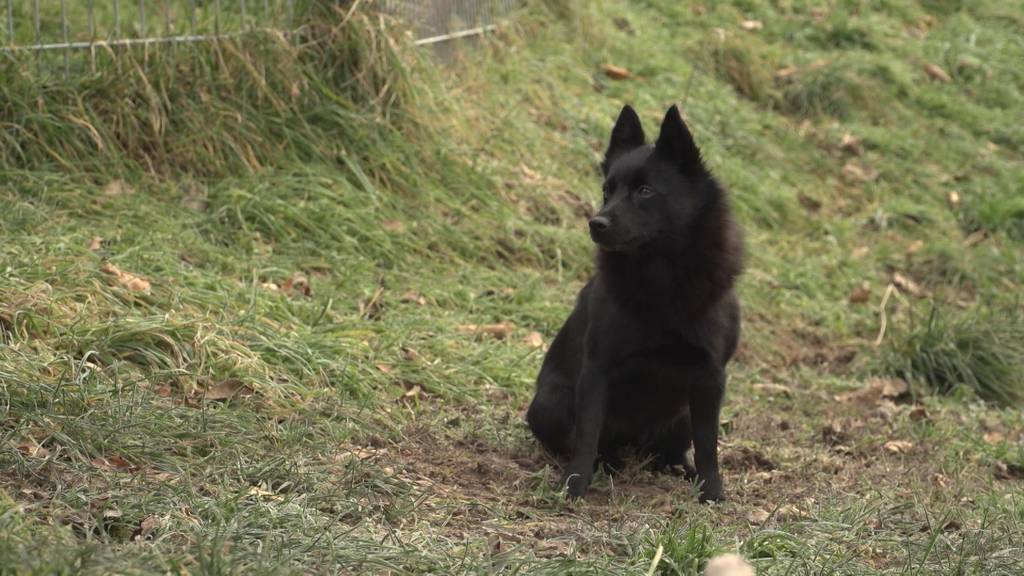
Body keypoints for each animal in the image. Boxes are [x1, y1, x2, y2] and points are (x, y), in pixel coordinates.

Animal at [528, 105, 745, 500]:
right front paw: (574, 485)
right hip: (550, 403)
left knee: (670, 452)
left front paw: (712, 492)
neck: (661, 277)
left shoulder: (710, 378)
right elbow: (586, 437)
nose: (596, 223)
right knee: (590, 442)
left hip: (682, 417)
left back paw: (679, 470)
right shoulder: (596, 370)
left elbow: (708, 445)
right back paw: (607, 464)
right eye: (606, 190)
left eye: (645, 191)